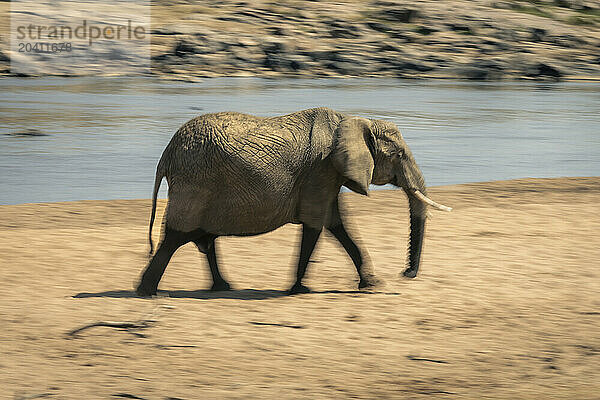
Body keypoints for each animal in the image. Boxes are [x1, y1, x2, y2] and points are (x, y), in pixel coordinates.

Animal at [136, 107, 452, 296]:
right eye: (398, 154)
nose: (406, 274)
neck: (352, 120)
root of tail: (166, 154)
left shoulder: (328, 175)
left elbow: (337, 225)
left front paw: (372, 285)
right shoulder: (320, 172)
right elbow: (315, 226)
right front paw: (299, 290)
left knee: (203, 239)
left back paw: (222, 288)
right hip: (196, 183)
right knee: (176, 237)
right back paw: (147, 291)